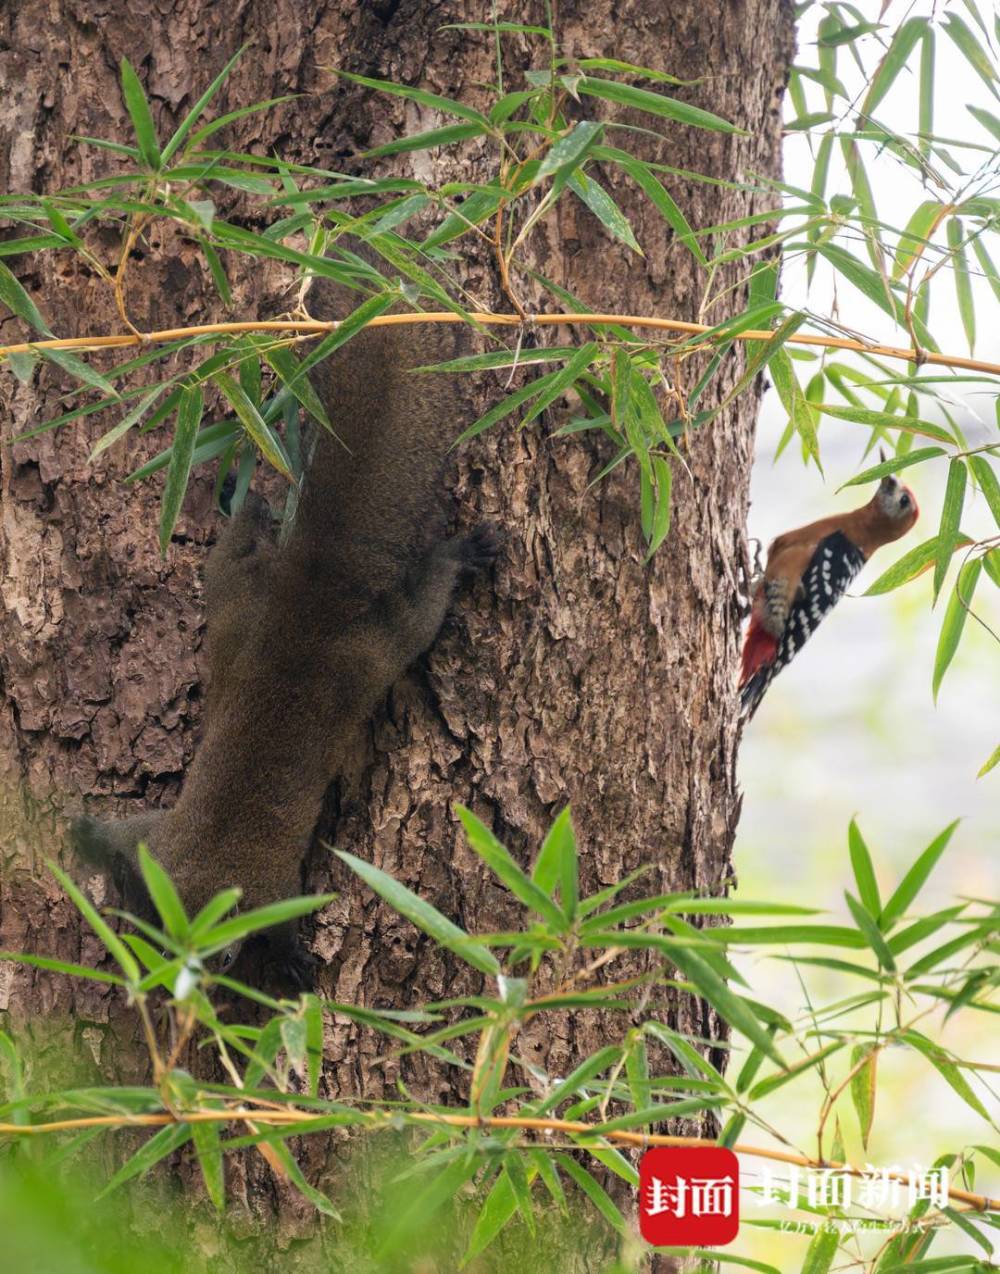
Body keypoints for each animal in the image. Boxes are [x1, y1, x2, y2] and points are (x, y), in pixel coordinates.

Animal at [72, 248, 494, 983]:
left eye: (211, 955)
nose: (172, 994)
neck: (203, 865)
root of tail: (309, 591)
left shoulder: (261, 884)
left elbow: (282, 922)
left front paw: (295, 964)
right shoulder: (159, 842)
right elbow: (120, 837)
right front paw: (84, 835)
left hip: (368, 643)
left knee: (421, 606)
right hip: (251, 609)